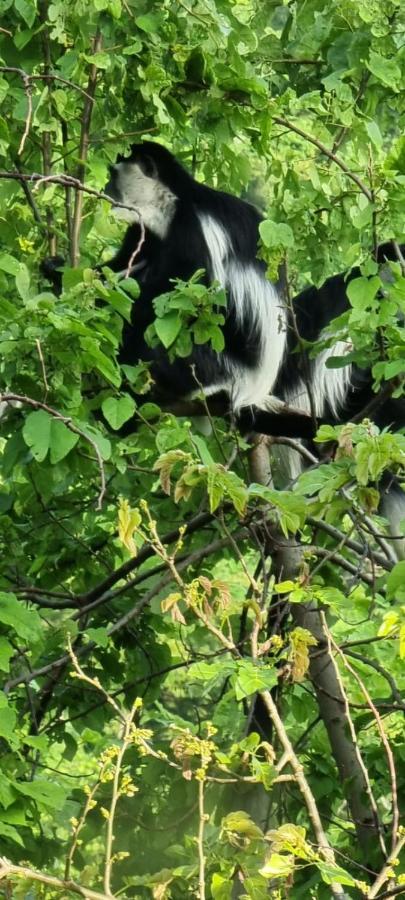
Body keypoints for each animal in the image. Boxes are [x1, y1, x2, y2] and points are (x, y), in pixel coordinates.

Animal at [42, 140, 402, 548]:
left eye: (116, 175)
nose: (106, 187)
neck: (172, 206)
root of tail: (256, 388)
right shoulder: (144, 232)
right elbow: (122, 268)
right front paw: (61, 273)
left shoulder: (191, 231)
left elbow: (188, 300)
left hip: (217, 365)